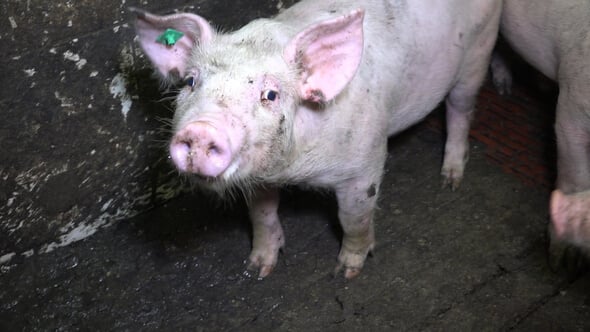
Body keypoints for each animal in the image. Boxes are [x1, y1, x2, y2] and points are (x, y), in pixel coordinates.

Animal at [131, 0, 504, 278]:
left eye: (270, 94)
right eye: (190, 82)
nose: (201, 130)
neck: (293, 171)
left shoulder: (365, 164)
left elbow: (353, 217)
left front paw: (346, 272)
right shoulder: (260, 176)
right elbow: (261, 213)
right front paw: (257, 268)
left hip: (478, 54)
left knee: (460, 111)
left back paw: (450, 180)